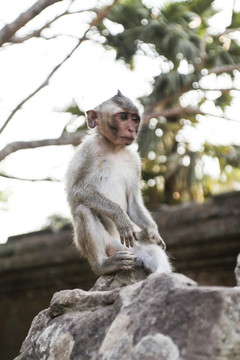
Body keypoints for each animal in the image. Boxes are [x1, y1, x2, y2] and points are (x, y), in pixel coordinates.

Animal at [64, 90, 172, 276]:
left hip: (133, 248)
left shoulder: (135, 161)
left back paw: (160, 275)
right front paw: (121, 217)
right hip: (108, 244)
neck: (114, 148)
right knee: (83, 209)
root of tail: (117, 248)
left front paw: (153, 232)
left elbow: (133, 204)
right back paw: (103, 264)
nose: (131, 129)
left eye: (134, 119)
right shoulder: (89, 150)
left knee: (152, 251)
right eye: (123, 117)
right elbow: (77, 192)